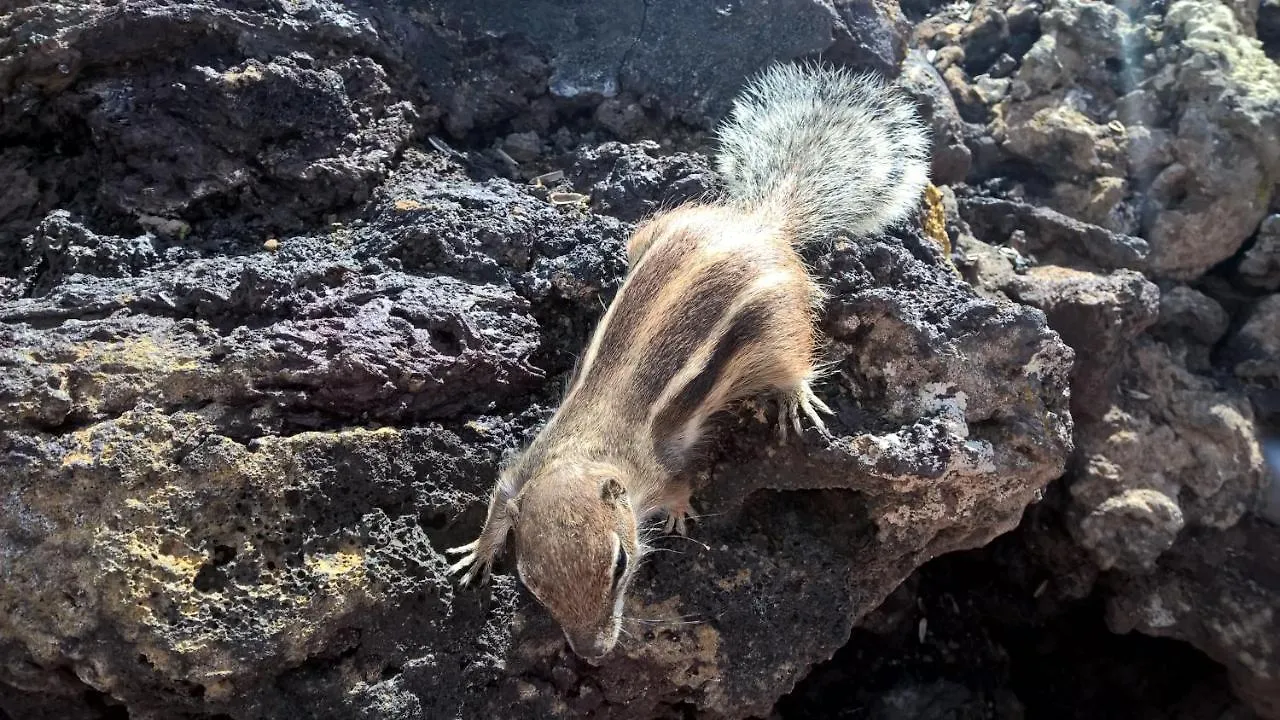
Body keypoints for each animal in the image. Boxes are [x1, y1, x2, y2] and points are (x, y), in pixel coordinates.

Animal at [448, 63, 931, 661]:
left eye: (620, 565)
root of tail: (761, 224)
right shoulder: (527, 466)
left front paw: (679, 512)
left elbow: (680, 485)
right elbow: (502, 498)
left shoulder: (660, 468)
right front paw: (478, 549)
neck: (586, 454)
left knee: (793, 359)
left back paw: (797, 395)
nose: (592, 653)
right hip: (651, 233)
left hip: (778, 325)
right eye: (533, 583)